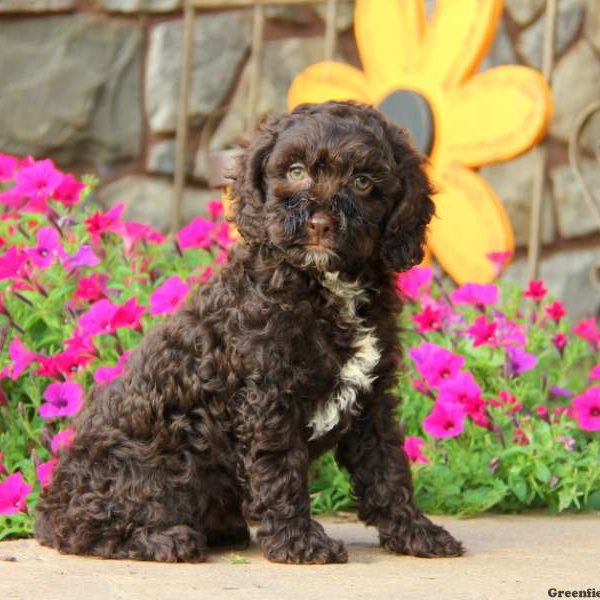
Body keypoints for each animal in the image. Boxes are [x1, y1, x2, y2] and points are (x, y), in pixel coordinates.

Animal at [35, 101, 464, 564]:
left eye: (364, 181)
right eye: (295, 170)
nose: (319, 223)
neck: (324, 285)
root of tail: (50, 503)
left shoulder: (374, 396)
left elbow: (388, 467)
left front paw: (415, 532)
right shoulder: (268, 394)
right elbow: (281, 469)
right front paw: (299, 542)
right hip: (142, 468)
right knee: (83, 526)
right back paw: (169, 539)